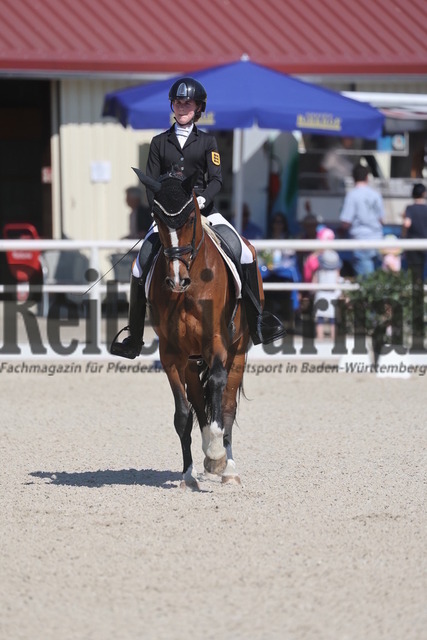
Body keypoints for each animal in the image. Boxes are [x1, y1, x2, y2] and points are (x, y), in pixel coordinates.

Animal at [134, 168, 262, 489]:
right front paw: (188, 474)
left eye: (191, 217)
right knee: (198, 402)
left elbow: (217, 387)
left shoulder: (216, 341)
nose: (177, 280)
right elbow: (183, 414)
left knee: (226, 406)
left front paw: (217, 453)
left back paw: (227, 467)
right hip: (191, 362)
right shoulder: (171, 354)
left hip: (238, 354)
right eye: (156, 217)